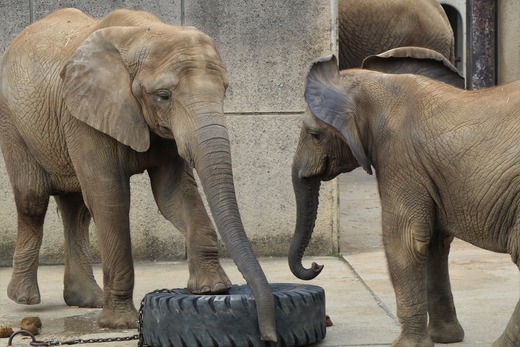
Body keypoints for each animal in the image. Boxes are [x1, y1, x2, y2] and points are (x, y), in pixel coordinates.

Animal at [0, 8, 278, 342]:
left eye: (224, 90)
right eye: (163, 95)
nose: (268, 335)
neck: (142, 34)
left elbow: (173, 194)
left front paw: (212, 289)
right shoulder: (83, 115)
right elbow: (110, 197)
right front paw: (120, 324)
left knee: (77, 209)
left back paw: (87, 300)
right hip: (12, 121)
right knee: (33, 199)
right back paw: (25, 298)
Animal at [292, 52, 520, 347]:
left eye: (314, 135)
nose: (316, 265)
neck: (377, 86)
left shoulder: (398, 157)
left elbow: (405, 239)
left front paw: (408, 345)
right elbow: (434, 241)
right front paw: (446, 338)